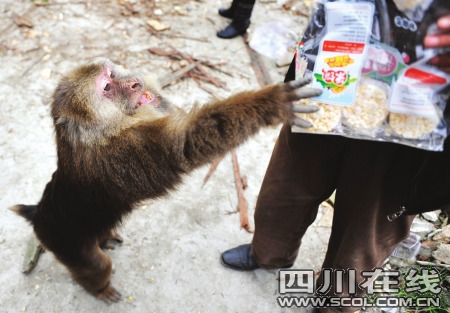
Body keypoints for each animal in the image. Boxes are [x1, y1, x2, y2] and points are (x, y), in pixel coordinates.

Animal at [10, 57, 320, 302]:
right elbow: (183, 145)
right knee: (98, 266)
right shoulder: (123, 154)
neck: (101, 132)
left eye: (111, 74)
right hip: (63, 242)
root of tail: (39, 215)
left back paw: (106, 238)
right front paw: (274, 102)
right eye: (107, 88)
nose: (135, 83)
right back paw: (97, 288)